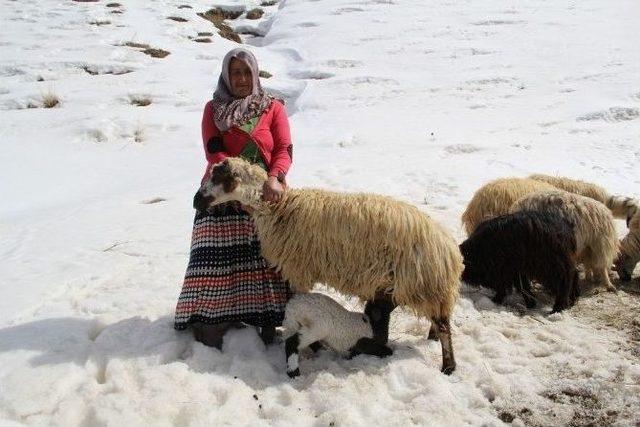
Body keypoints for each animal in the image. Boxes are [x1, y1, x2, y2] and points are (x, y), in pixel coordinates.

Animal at [192, 157, 462, 374]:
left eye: (217, 177)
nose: (195, 202)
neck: (278, 209)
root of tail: (448, 249)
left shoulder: (297, 269)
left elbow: (298, 300)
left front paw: (310, 347)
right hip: (425, 287)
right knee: (440, 318)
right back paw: (432, 338)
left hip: (424, 284)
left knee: (444, 326)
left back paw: (448, 365)